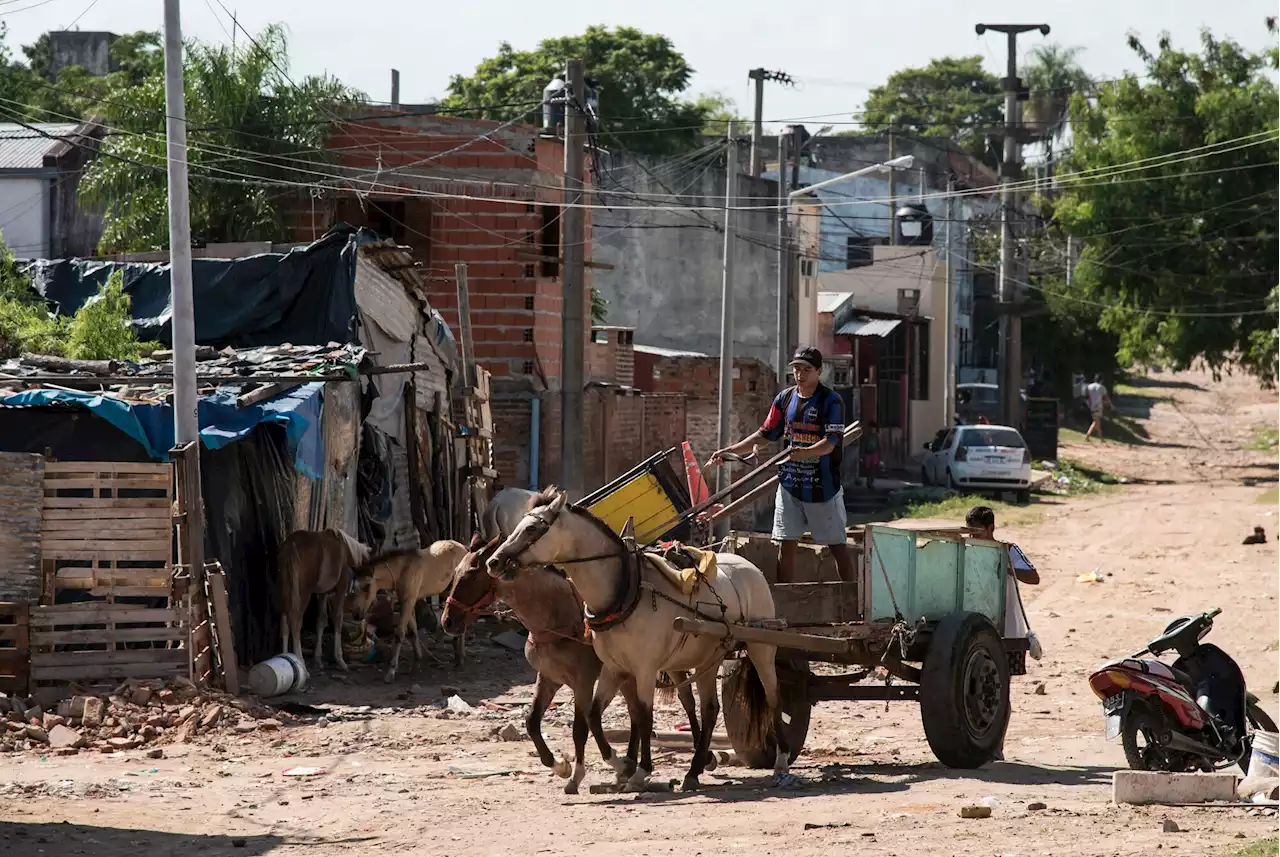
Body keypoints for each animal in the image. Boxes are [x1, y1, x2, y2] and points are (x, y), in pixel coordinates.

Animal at [279, 529, 373, 680]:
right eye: (367, 586)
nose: (359, 614)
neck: (347, 551)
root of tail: (291, 545)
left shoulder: (323, 593)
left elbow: (321, 621)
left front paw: (318, 660)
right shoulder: (341, 588)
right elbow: (338, 619)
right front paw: (341, 661)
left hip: (286, 590)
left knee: (284, 622)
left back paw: (286, 658)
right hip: (303, 592)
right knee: (295, 621)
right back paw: (303, 668)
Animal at [350, 544, 471, 685]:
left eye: (367, 586)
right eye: (354, 587)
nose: (356, 615)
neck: (402, 570)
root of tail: (465, 548)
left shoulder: (408, 601)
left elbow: (399, 634)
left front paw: (391, 672)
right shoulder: (409, 602)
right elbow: (412, 632)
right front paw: (416, 663)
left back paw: (460, 658)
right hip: (446, 591)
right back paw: (457, 654)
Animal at [437, 539, 701, 798]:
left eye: (468, 577)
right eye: (454, 575)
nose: (447, 622)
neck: (557, 618)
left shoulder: (582, 682)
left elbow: (580, 729)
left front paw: (577, 776)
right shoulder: (548, 678)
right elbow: (532, 722)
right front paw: (560, 766)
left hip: (669, 663)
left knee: (687, 700)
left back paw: (698, 758)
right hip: (627, 674)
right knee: (636, 713)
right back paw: (630, 767)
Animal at [486, 486, 793, 798]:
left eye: (532, 528)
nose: (493, 562)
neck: (624, 592)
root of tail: (749, 566)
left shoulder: (644, 668)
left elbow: (644, 717)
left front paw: (640, 771)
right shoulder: (614, 669)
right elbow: (594, 716)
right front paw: (620, 764)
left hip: (761, 647)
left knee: (773, 697)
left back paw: (780, 761)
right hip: (708, 659)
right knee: (709, 710)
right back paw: (694, 770)